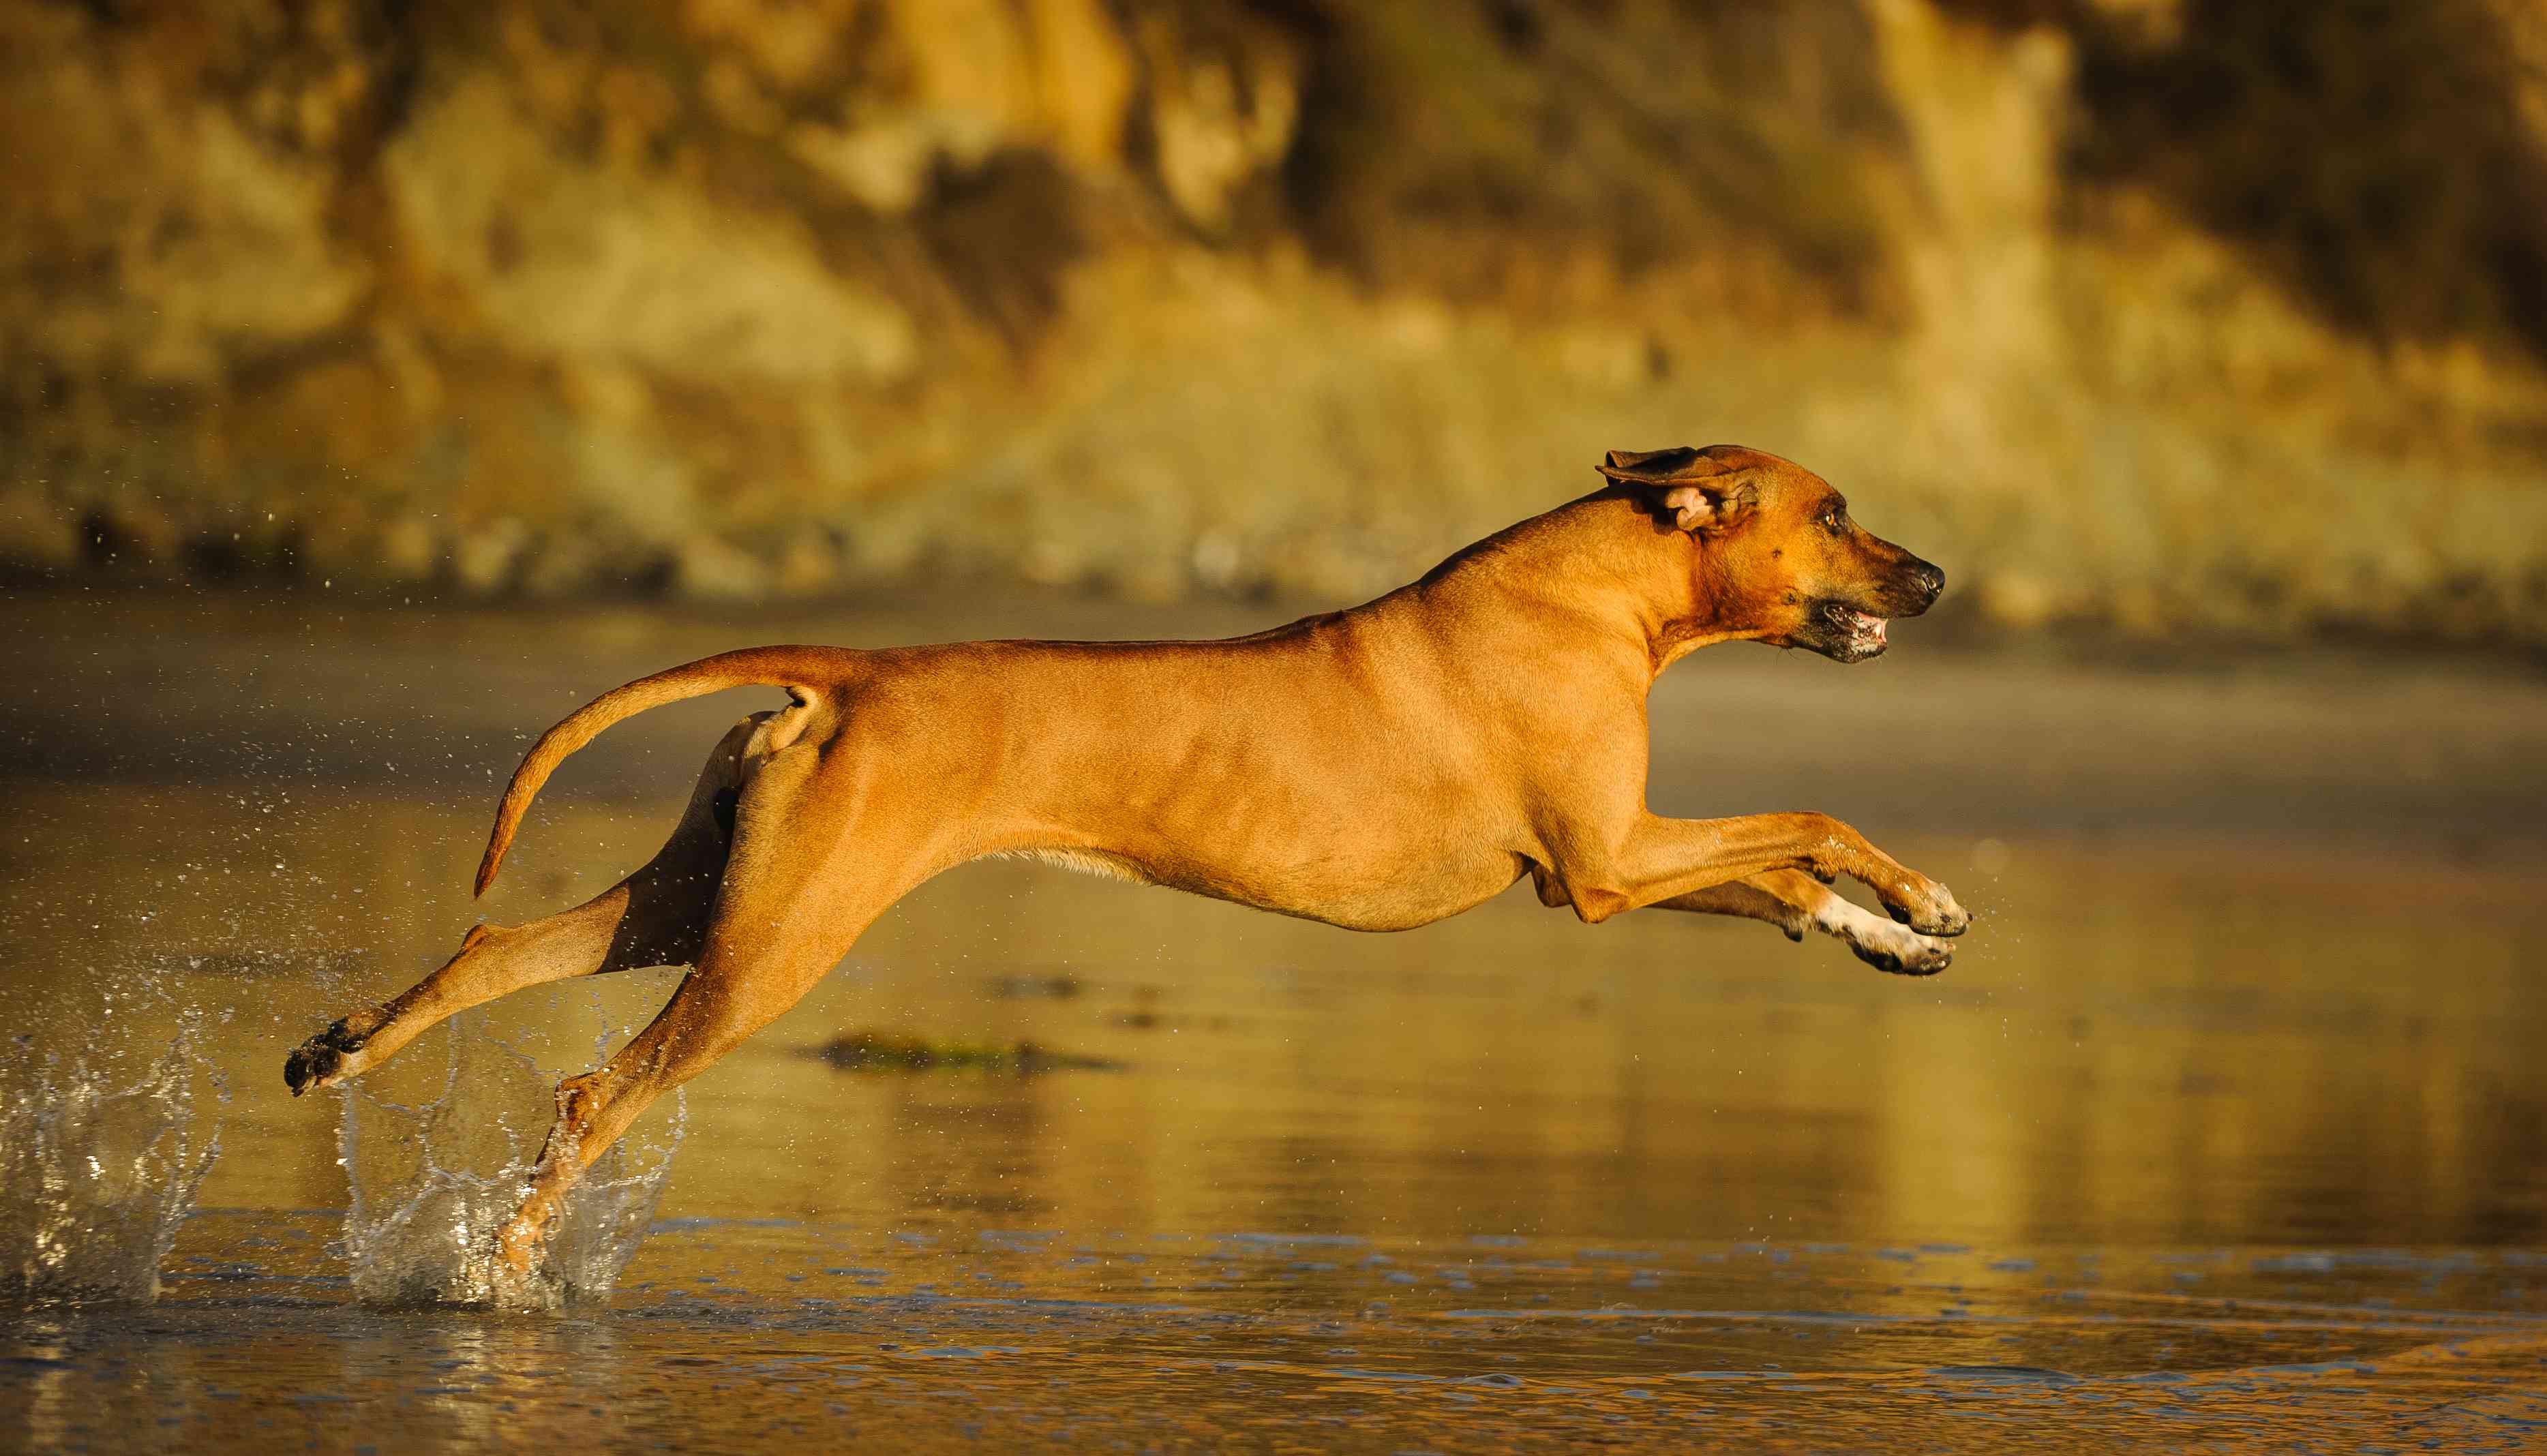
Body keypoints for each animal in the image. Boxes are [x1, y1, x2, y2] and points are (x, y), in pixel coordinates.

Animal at [292, 445, 1966, 1273]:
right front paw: (1916, 891)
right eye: (1834, 515)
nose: (1943, 576)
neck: (1604, 590)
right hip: (777, 941)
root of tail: (853, 673)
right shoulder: (1612, 859)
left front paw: (1885, 933)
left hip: (702, 893)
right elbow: (1811, 819)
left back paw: (347, 1048)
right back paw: (503, 1265)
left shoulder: (1598, 873)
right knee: (595, 1092)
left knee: (498, 950)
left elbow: (1784, 875)